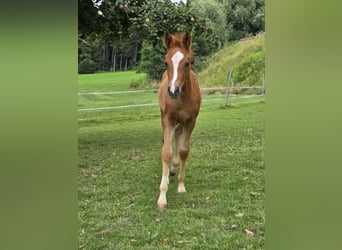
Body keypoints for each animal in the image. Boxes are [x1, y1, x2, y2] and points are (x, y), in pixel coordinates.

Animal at [157, 31, 202, 208]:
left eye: (188, 63)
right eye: (165, 62)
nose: (173, 91)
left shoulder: (190, 121)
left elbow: (183, 151)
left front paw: (181, 186)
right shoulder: (168, 119)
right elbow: (166, 151)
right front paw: (162, 197)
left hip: (181, 122)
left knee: (177, 138)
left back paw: (174, 168)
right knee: (169, 140)